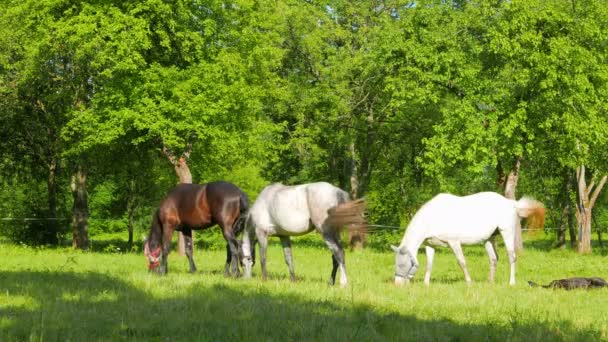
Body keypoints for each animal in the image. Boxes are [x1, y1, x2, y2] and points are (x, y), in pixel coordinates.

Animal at [394, 192, 548, 286]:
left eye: (402, 264)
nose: (397, 284)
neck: (432, 217)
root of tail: (511, 203)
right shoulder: (430, 245)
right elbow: (429, 264)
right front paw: (426, 284)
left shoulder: (454, 243)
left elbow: (461, 262)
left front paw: (469, 282)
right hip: (489, 239)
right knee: (494, 258)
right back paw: (489, 282)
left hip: (507, 233)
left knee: (511, 257)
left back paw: (511, 282)